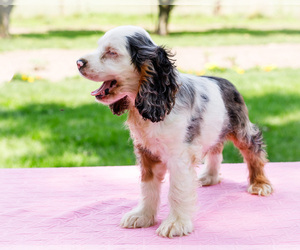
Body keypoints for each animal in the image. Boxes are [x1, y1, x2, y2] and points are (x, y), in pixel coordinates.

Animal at [76, 25, 274, 238]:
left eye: (111, 52)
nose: (78, 63)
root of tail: (224, 80)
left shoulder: (179, 155)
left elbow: (177, 190)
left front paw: (176, 224)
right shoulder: (146, 151)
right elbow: (148, 186)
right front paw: (142, 216)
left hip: (241, 128)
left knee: (253, 149)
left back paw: (260, 183)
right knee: (216, 148)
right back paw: (210, 177)